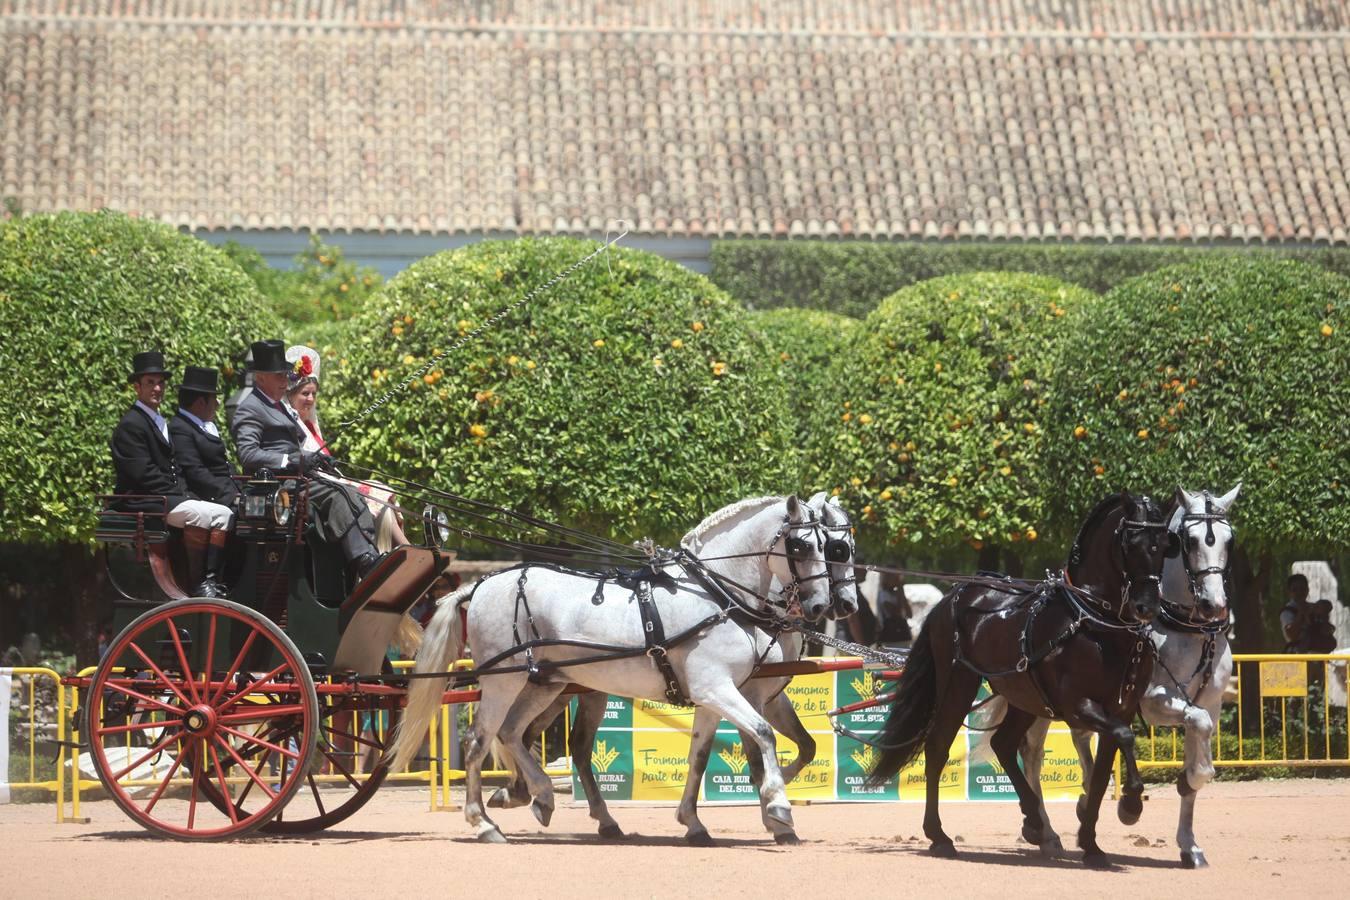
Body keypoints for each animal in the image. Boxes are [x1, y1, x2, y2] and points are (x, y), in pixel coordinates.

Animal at [391, 493, 847, 847]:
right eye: (803, 545)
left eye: (831, 546)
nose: (824, 605)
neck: (713, 594)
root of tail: (481, 584)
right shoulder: (717, 689)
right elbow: (764, 734)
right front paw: (778, 805)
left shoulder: (713, 697)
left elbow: (699, 756)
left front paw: (694, 822)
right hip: (504, 680)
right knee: (479, 741)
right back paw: (484, 822)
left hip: (544, 683)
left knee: (513, 734)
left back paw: (543, 798)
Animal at [864, 493, 1171, 863]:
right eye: (1131, 542)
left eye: (1165, 544)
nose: (1147, 607)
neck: (1094, 623)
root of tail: (954, 595)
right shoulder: (1078, 706)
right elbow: (1124, 739)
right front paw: (1130, 805)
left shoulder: (1119, 709)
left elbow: (1101, 773)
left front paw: (1092, 843)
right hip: (958, 685)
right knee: (938, 748)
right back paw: (939, 835)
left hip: (1024, 697)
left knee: (1004, 745)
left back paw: (1036, 823)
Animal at [993, 485, 1242, 874]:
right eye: (1189, 541)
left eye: (1229, 540)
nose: (1213, 605)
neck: (1184, 629)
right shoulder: (1154, 701)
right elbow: (1196, 746)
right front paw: (1130, 805)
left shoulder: (1210, 704)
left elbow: (1197, 761)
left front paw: (1189, 845)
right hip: (1036, 700)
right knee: (1031, 753)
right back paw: (1044, 830)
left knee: (1079, 737)